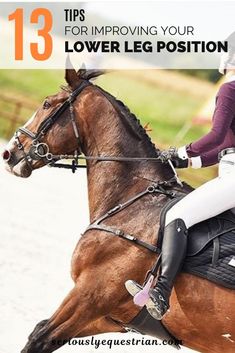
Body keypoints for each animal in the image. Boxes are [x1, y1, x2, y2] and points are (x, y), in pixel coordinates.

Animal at [3, 66, 235, 352]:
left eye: (47, 103)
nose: (9, 154)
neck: (132, 198)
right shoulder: (109, 317)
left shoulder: (90, 296)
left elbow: (40, 337)